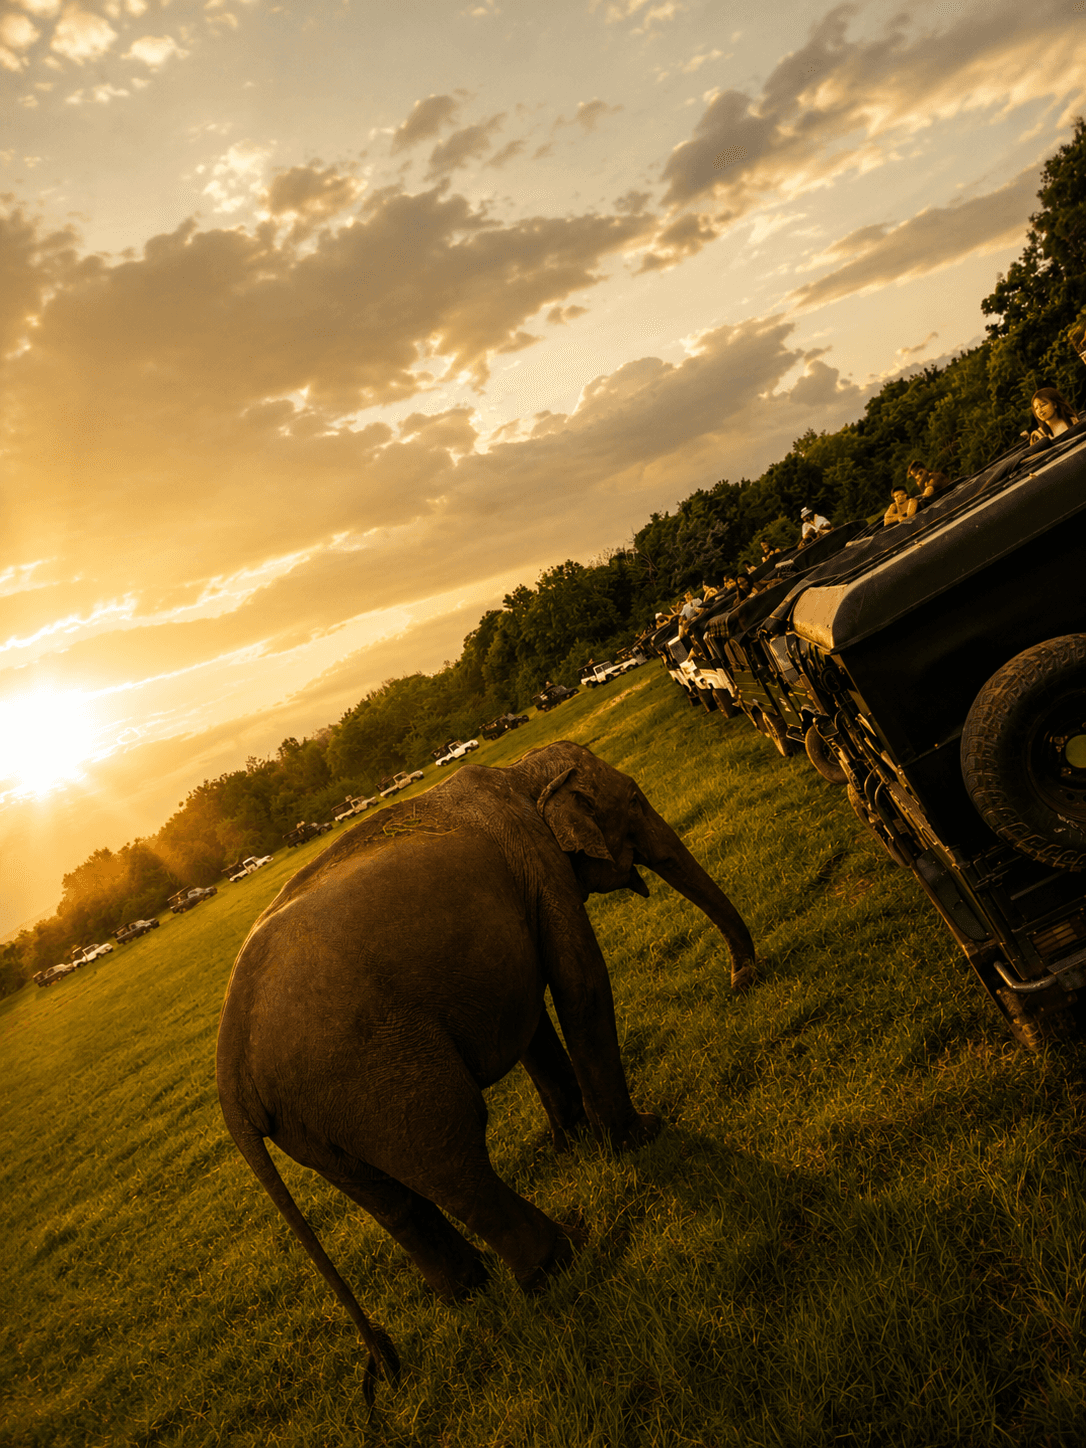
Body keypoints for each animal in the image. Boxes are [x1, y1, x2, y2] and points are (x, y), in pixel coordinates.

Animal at [216, 740, 755, 1401]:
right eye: (634, 799)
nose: (742, 979)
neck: (521, 774)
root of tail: (229, 1074)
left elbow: (535, 1023)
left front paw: (573, 1145)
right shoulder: (539, 866)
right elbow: (579, 984)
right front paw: (638, 1137)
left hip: (313, 1119)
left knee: (390, 1199)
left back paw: (472, 1292)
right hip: (374, 1075)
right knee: (454, 1160)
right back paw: (564, 1255)